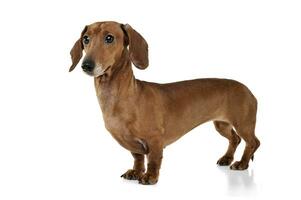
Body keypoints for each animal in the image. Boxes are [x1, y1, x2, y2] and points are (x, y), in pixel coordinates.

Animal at [67, 21, 258, 184]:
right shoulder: (133, 145)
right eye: (86, 39)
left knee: (253, 142)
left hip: (243, 124)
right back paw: (227, 158)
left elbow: (153, 159)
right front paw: (135, 172)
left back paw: (242, 163)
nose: (86, 65)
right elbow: (138, 158)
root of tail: (248, 90)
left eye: (109, 38)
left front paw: (150, 177)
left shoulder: (155, 139)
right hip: (221, 125)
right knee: (235, 139)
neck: (122, 96)